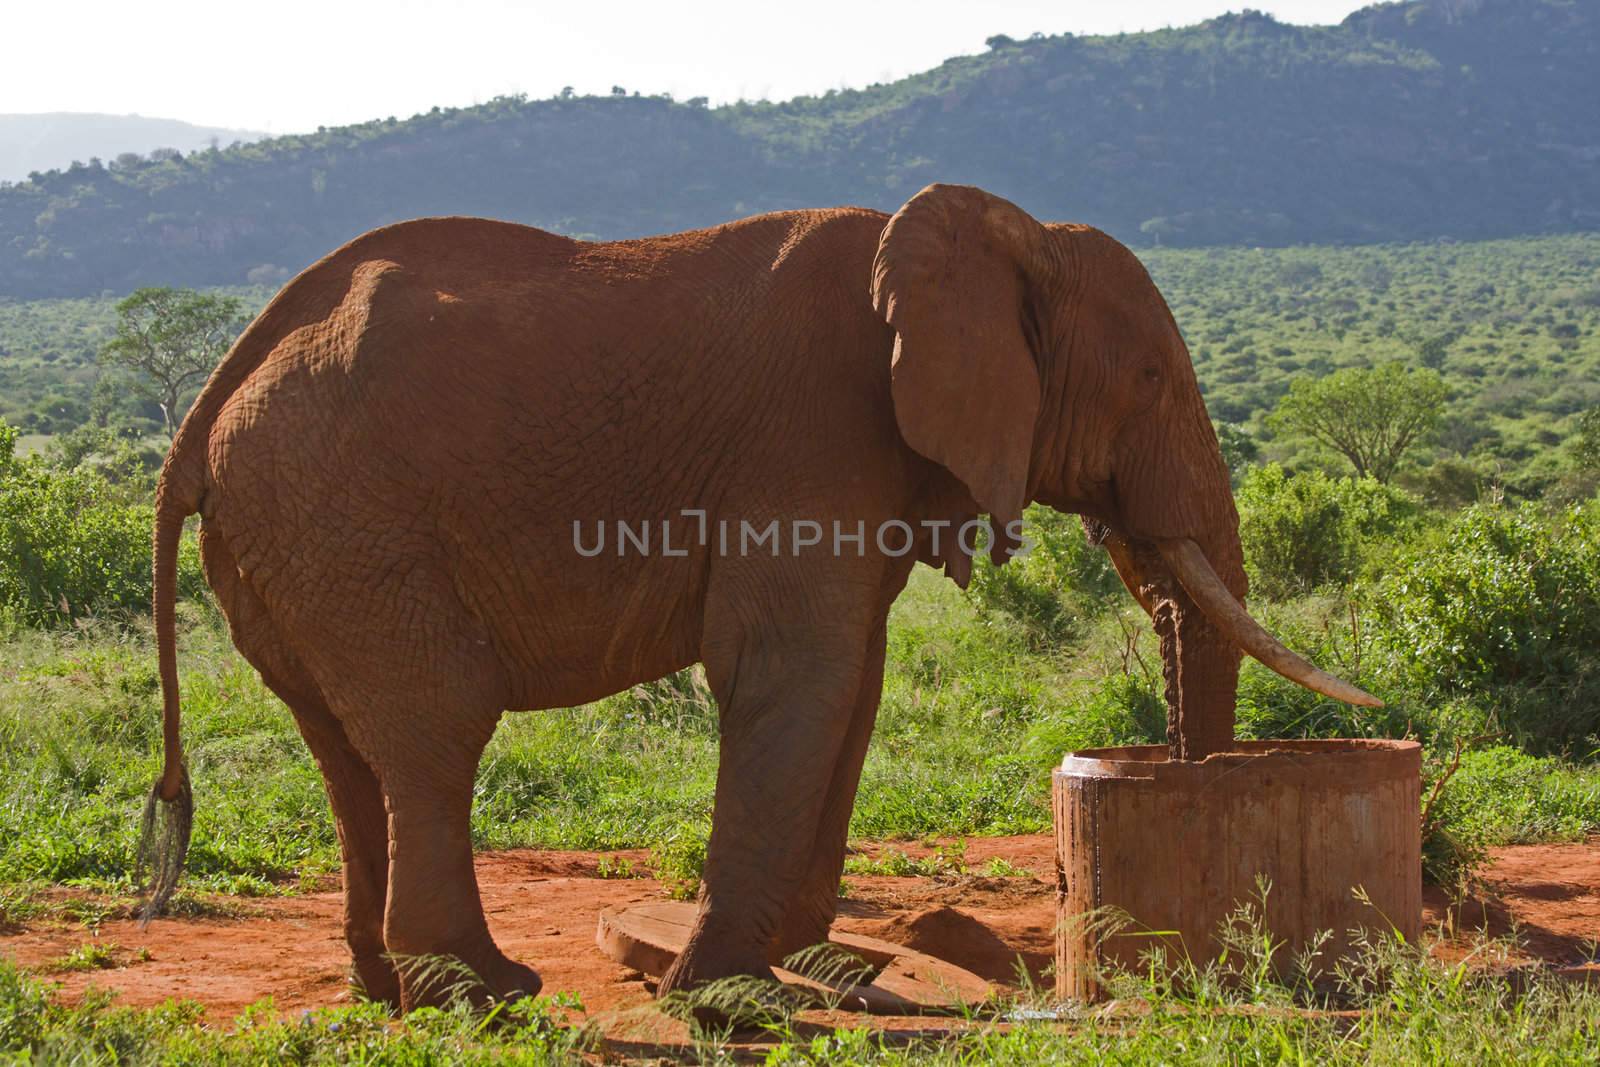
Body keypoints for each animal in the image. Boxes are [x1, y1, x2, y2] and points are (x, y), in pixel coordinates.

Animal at [137, 181, 1376, 1011]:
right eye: (1152, 378)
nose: (1182, 765)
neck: (987, 239)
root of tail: (208, 408)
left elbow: (855, 681)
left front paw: (819, 964)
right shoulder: (812, 435)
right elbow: (795, 674)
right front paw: (735, 993)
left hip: (290, 543)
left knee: (347, 751)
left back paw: (387, 989)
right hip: (344, 517)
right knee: (435, 729)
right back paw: (487, 992)